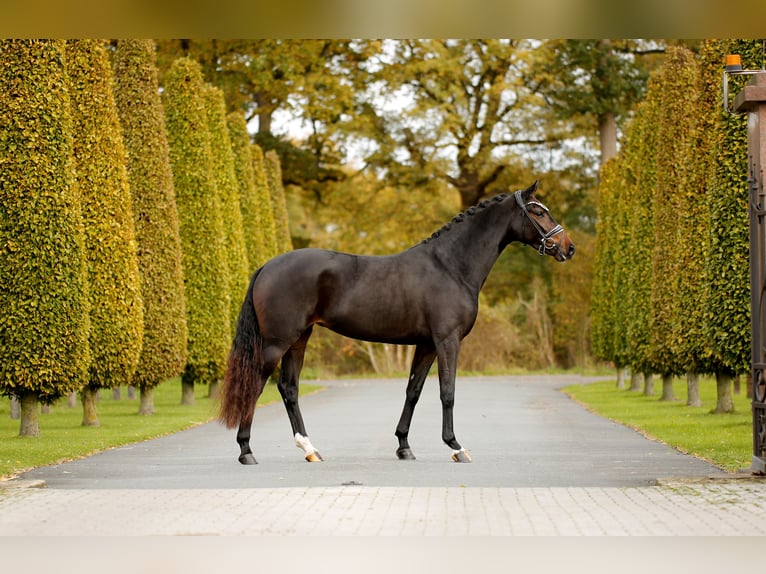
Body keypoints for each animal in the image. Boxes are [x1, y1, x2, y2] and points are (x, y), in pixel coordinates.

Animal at [219, 181, 575, 464]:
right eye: (537, 211)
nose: (568, 248)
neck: (450, 266)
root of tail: (267, 266)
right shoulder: (447, 340)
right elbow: (448, 392)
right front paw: (456, 446)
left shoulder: (427, 344)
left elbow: (413, 391)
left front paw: (404, 446)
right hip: (277, 342)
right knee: (256, 384)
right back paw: (246, 451)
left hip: (299, 338)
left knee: (288, 388)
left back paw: (310, 449)